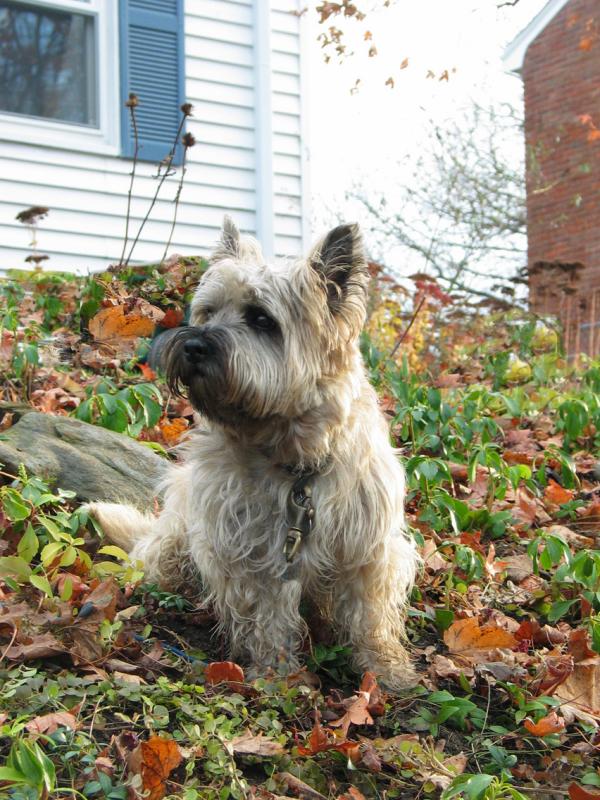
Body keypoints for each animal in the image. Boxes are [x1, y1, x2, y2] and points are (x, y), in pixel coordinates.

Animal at [90, 219, 418, 688]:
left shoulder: (368, 549)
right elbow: (268, 616)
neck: (296, 462)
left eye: (262, 319)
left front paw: (386, 668)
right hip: (179, 534)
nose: (193, 346)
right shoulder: (251, 550)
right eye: (209, 312)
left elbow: (370, 615)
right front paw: (278, 675)